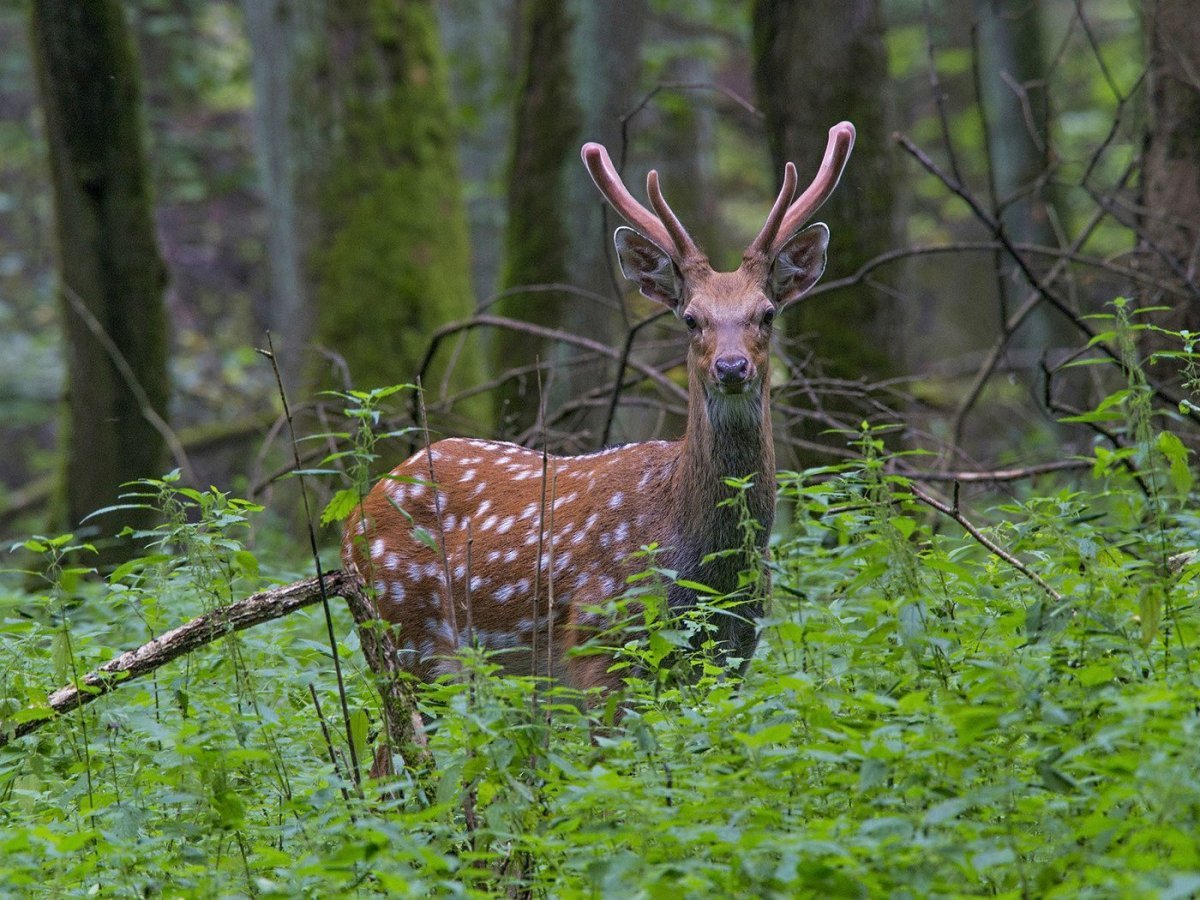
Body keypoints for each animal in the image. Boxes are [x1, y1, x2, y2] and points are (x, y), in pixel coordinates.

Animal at [343, 120, 859, 696]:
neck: (705, 570)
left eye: (767, 313)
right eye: (691, 318)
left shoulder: (734, 652)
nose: (731, 367)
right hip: (405, 636)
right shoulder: (601, 640)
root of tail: (358, 510)